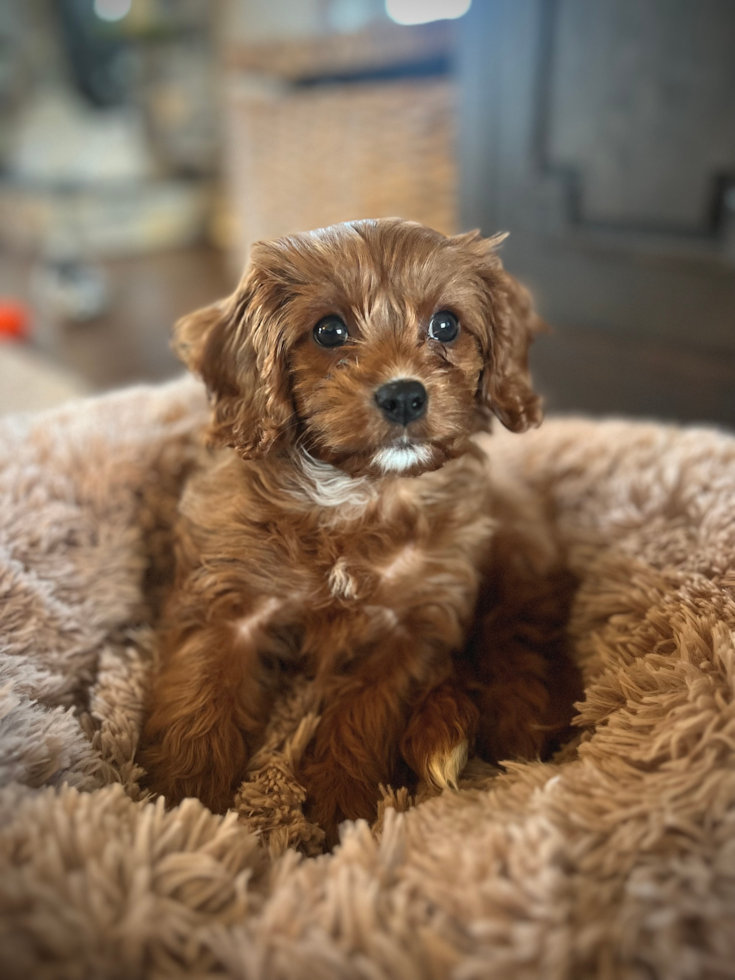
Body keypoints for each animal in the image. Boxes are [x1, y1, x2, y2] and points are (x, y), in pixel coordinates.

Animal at [141, 218, 584, 840]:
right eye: (329, 331)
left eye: (446, 324)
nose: (404, 395)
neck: (359, 495)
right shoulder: (228, 603)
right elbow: (200, 700)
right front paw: (182, 808)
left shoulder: (416, 621)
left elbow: (366, 710)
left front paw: (339, 805)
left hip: (517, 568)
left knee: (521, 638)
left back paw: (517, 725)